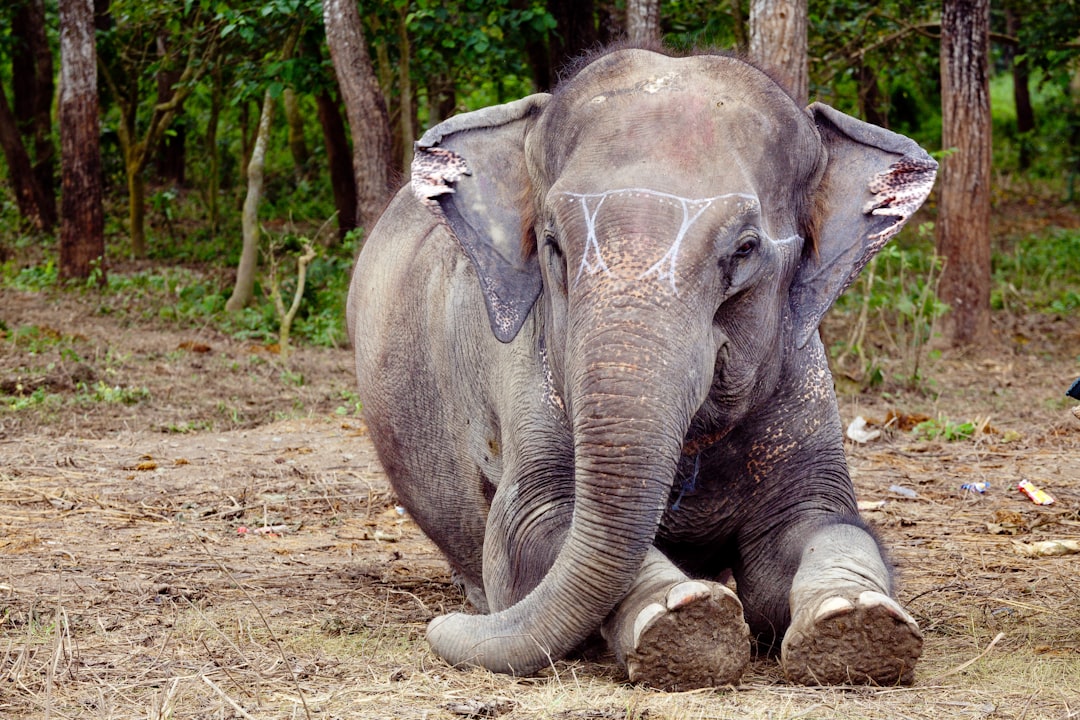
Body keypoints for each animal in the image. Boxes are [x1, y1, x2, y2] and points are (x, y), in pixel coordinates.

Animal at [347, 46, 937, 690]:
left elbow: (816, 526)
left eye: (745, 249)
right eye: (552, 245)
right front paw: (682, 622)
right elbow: (531, 532)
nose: (442, 627)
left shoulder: (802, 374)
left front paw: (858, 623)